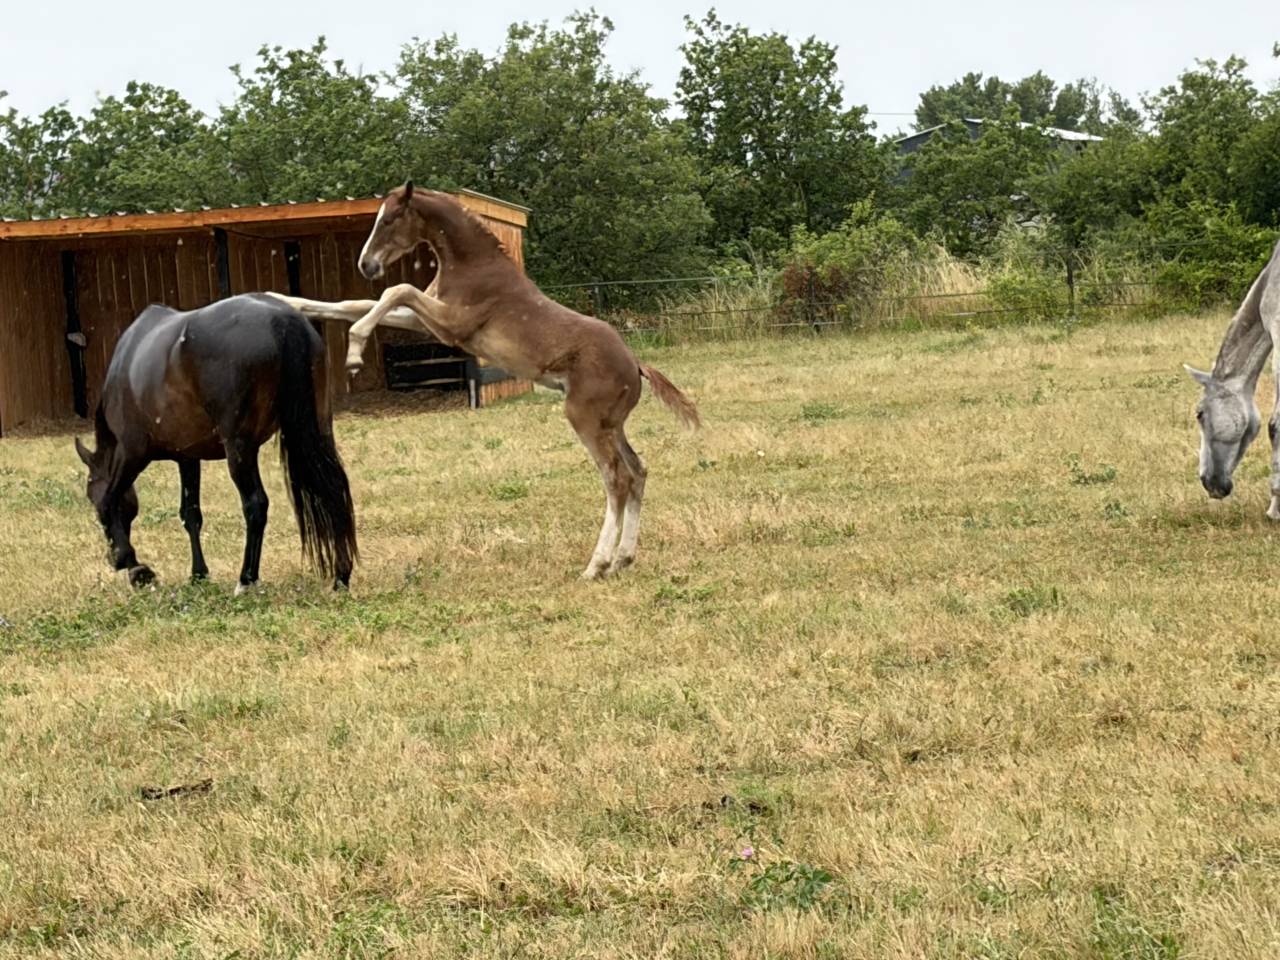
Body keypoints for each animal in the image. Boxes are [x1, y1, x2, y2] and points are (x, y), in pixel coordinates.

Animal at [74, 294, 358, 592]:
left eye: (90, 494)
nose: (111, 557)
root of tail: (284, 320)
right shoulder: (187, 458)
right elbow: (191, 514)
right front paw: (198, 573)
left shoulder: (131, 453)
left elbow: (110, 499)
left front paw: (133, 565)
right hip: (318, 432)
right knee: (334, 491)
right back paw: (341, 575)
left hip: (239, 450)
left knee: (255, 504)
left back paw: (246, 579)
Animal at [271, 181, 700, 580]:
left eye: (390, 219)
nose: (366, 265)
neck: (471, 265)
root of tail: (635, 364)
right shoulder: (426, 320)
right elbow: (358, 303)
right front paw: (286, 301)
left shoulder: (452, 326)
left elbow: (396, 290)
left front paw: (355, 352)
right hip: (612, 424)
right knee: (638, 471)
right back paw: (623, 559)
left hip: (585, 419)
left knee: (616, 478)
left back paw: (596, 565)